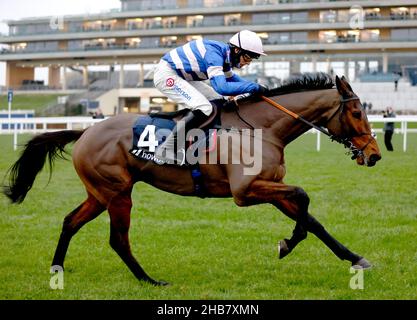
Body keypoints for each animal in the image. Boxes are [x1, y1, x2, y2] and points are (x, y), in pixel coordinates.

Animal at [3, 74, 380, 284]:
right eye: (356, 112)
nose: (375, 154)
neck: (262, 128)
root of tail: (85, 131)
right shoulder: (246, 191)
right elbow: (303, 196)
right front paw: (287, 243)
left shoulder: (270, 189)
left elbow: (313, 220)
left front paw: (354, 258)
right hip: (117, 193)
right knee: (118, 239)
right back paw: (149, 280)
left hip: (100, 194)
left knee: (70, 222)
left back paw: (57, 268)